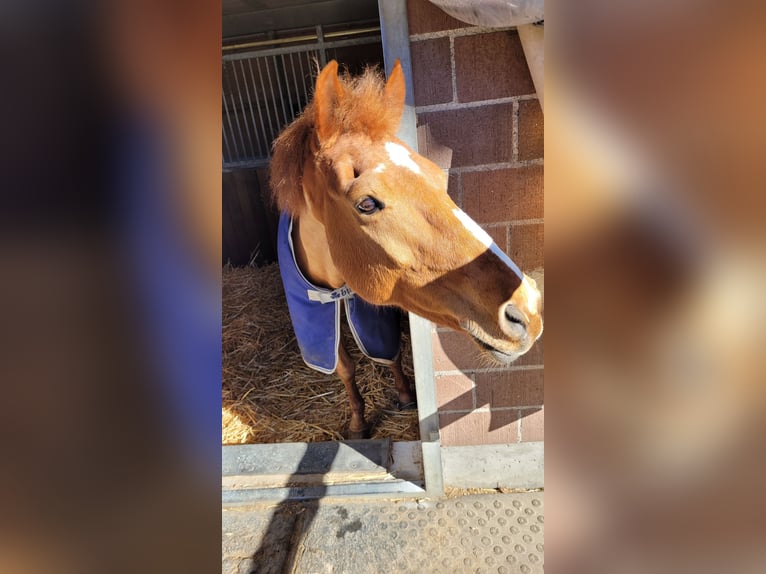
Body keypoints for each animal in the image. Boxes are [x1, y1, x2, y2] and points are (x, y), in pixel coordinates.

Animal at [270, 60, 543, 438]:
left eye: (436, 176)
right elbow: (345, 367)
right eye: (367, 203)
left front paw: (404, 396)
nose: (527, 308)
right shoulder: (316, 317)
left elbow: (391, 353)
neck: (336, 286)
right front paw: (358, 423)